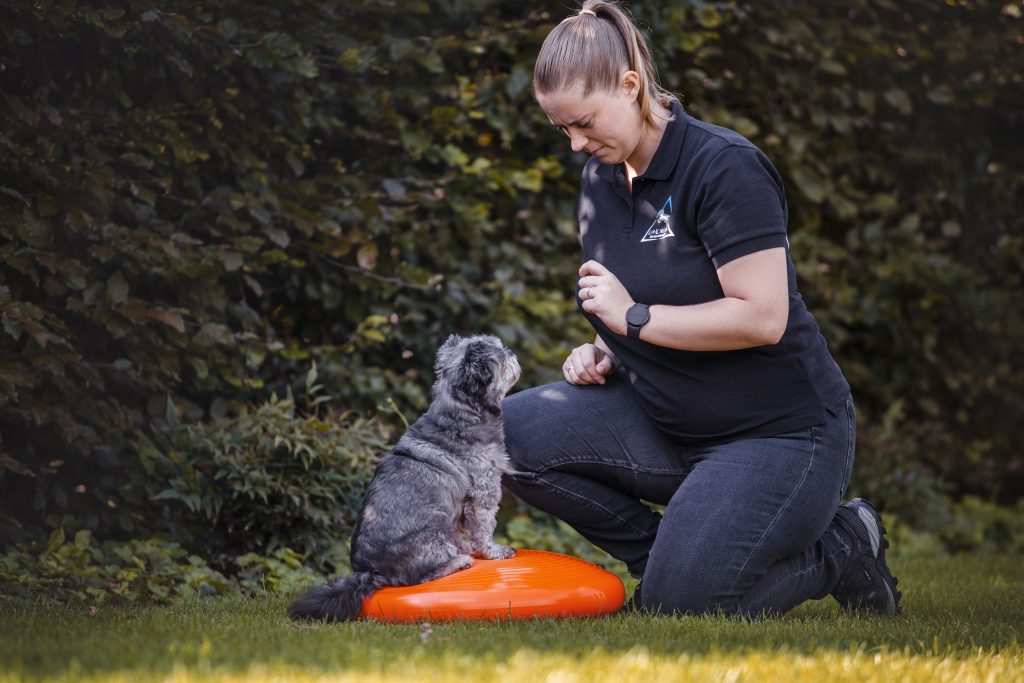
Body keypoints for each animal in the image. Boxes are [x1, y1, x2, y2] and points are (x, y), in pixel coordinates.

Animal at [288, 333, 524, 622]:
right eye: (500, 356)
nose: (511, 352)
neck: (460, 412)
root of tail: (370, 571)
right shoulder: (483, 491)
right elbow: (484, 527)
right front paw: (494, 551)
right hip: (435, 529)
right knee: (422, 576)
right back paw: (458, 562)